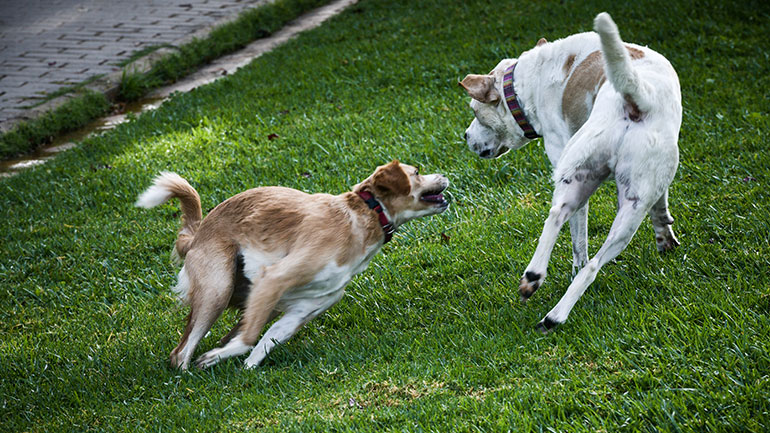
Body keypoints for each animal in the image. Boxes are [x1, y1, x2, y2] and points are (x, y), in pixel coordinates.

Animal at [136, 161, 449, 369]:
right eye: (417, 173)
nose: (445, 174)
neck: (366, 215)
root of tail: (196, 235)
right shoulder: (274, 278)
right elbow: (249, 339)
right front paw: (217, 357)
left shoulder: (301, 309)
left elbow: (264, 341)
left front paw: (244, 367)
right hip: (217, 289)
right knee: (181, 353)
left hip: (253, 299)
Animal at [459, 13, 681, 332]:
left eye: (475, 111)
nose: (465, 136)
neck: (529, 79)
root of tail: (638, 97)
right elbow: (656, 205)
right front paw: (664, 235)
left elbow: (579, 241)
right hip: (618, 196)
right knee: (582, 249)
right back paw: (544, 294)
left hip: (587, 180)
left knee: (564, 228)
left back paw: (545, 299)